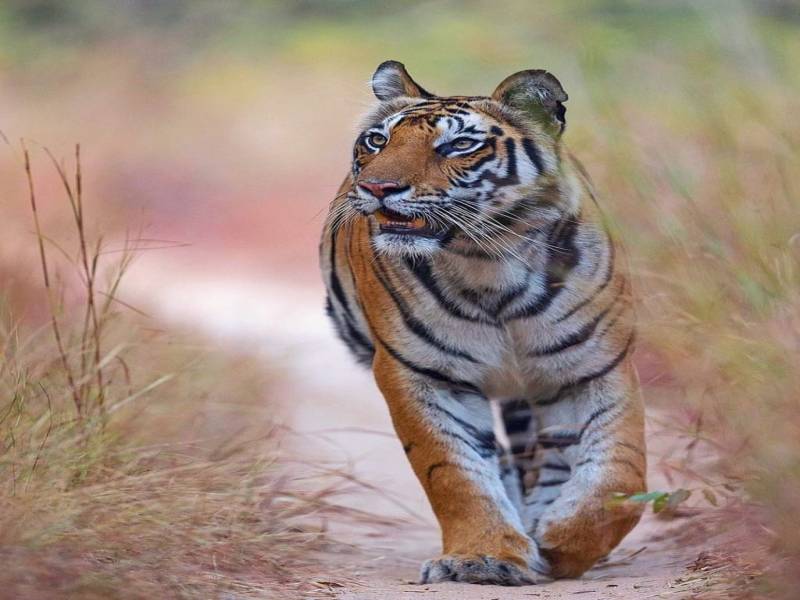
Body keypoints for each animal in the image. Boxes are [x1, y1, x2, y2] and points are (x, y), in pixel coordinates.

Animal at [320, 61, 646, 586]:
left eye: (458, 146)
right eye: (376, 141)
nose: (376, 188)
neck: (489, 263)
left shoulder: (594, 365)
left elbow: (618, 477)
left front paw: (562, 542)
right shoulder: (423, 374)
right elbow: (456, 474)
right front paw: (484, 558)